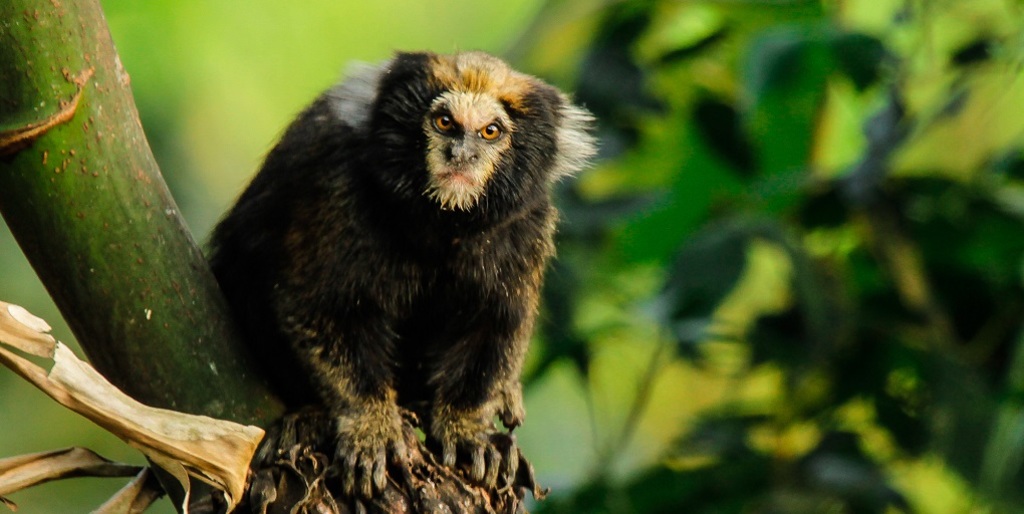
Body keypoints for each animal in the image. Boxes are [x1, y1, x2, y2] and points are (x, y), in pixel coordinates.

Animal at [206, 51, 598, 497]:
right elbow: (322, 309)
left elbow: (493, 324)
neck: (439, 223)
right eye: (445, 123)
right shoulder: (335, 183)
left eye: (490, 131)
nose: (461, 154)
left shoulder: (528, 225)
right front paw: (370, 423)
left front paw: (467, 426)